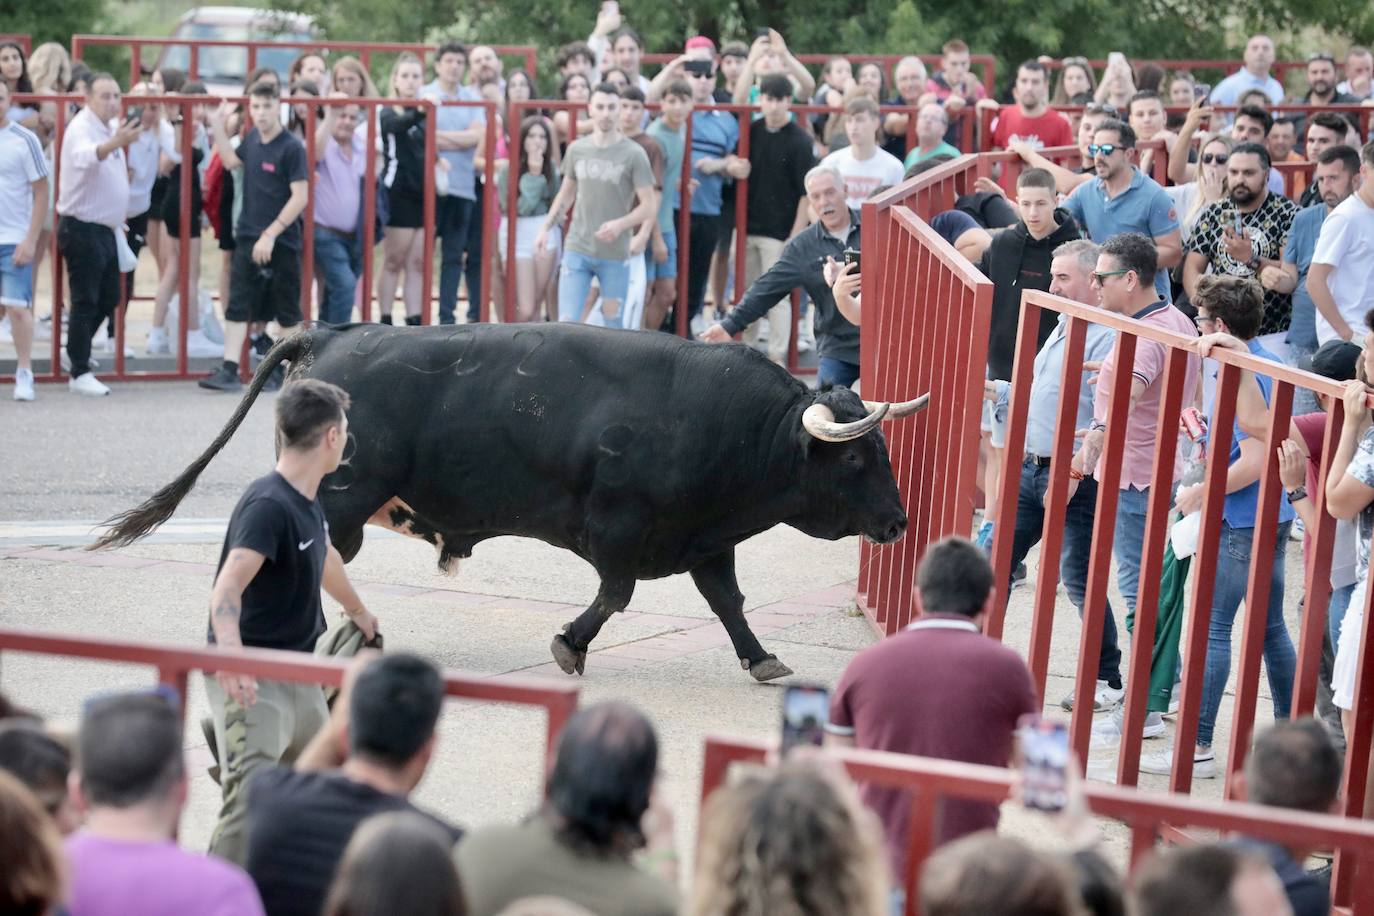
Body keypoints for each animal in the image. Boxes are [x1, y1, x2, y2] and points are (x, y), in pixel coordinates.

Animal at [96, 322, 928, 681]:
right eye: (858, 455)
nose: (897, 521)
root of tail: (333, 332)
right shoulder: (620, 530)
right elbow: (615, 595)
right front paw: (570, 645)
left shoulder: (704, 539)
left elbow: (728, 601)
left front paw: (760, 659)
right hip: (342, 496)